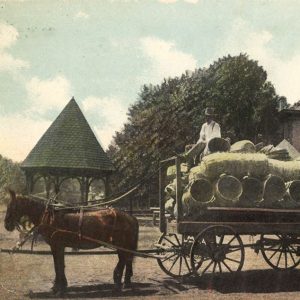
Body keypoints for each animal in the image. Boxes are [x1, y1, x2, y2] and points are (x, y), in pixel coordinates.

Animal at [4, 190, 139, 296]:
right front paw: (59, 285)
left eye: (13, 206)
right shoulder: (56, 246)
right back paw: (121, 282)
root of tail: (130, 217)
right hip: (122, 245)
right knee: (125, 260)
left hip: (121, 244)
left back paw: (118, 283)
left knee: (124, 260)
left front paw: (59, 288)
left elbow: (58, 265)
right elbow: (59, 264)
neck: (48, 217)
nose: (6, 225)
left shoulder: (57, 245)